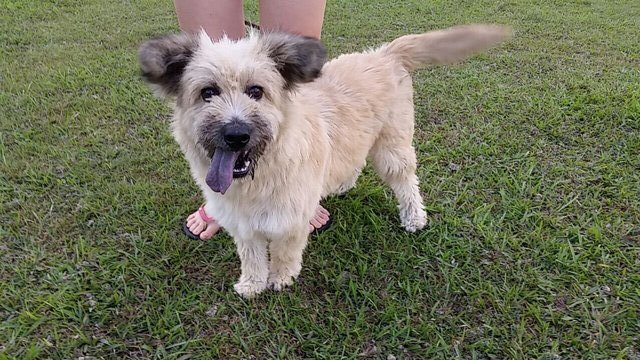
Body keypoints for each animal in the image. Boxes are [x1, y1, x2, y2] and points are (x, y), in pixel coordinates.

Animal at [139, 23, 510, 296]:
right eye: (208, 92)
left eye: (256, 91)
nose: (236, 134)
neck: (261, 175)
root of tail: (385, 54)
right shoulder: (241, 223)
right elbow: (252, 255)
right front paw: (252, 284)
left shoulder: (289, 219)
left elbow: (284, 251)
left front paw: (281, 279)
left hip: (392, 148)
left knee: (406, 182)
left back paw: (414, 216)